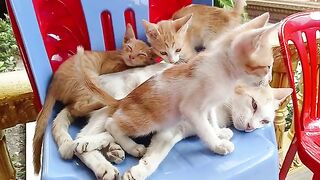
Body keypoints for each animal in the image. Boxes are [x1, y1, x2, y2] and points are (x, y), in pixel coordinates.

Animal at [32, 23, 156, 174]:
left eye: (141, 54)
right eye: (130, 48)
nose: (131, 57)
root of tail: (52, 85)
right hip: (89, 79)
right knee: (77, 109)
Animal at [83, 12, 278, 160]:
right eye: (268, 66)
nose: (268, 80)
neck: (223, 71)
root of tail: (123, 100)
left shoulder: (210, 105)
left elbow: (211, 119)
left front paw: (219, 132)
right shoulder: (191, 108)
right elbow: (204, 128)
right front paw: (217, 144)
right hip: (148, 120)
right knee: (111, 123)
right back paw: (132, 147)